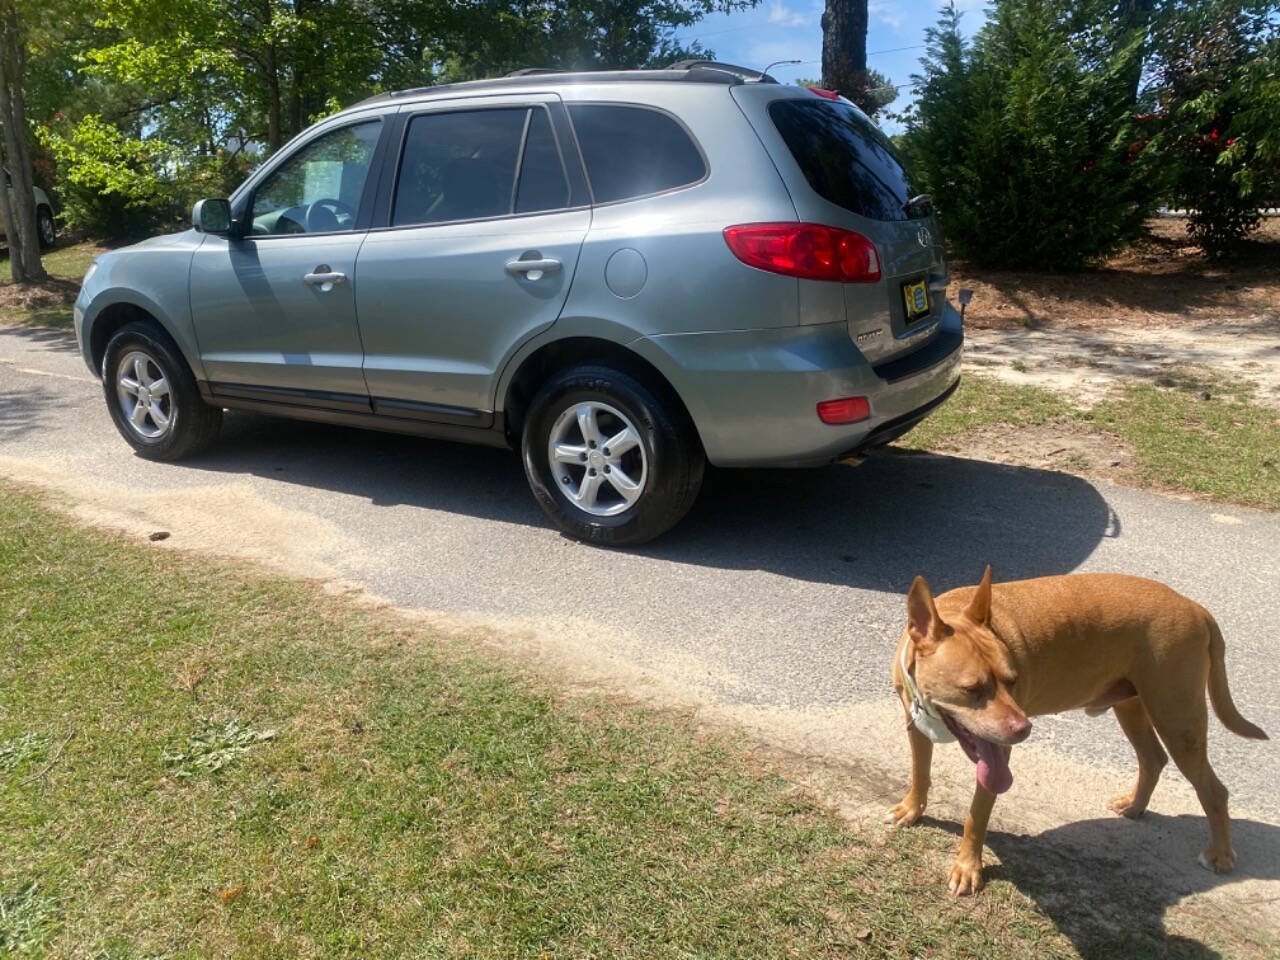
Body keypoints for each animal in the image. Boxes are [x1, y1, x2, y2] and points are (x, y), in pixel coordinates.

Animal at [890, 570, 1269, 896]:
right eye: (972, 689)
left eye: (1012, 680)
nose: (1024, 728)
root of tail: (1196, 608)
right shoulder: (915, 726)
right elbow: (920, 773)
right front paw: (912, 808)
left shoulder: (998, 754)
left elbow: (977, 814)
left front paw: (968, 866)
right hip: (1132, 706)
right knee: (1153, 759)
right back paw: (1135, 805)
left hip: (1178, 719)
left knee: (1213, 790)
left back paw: (1221, 854)